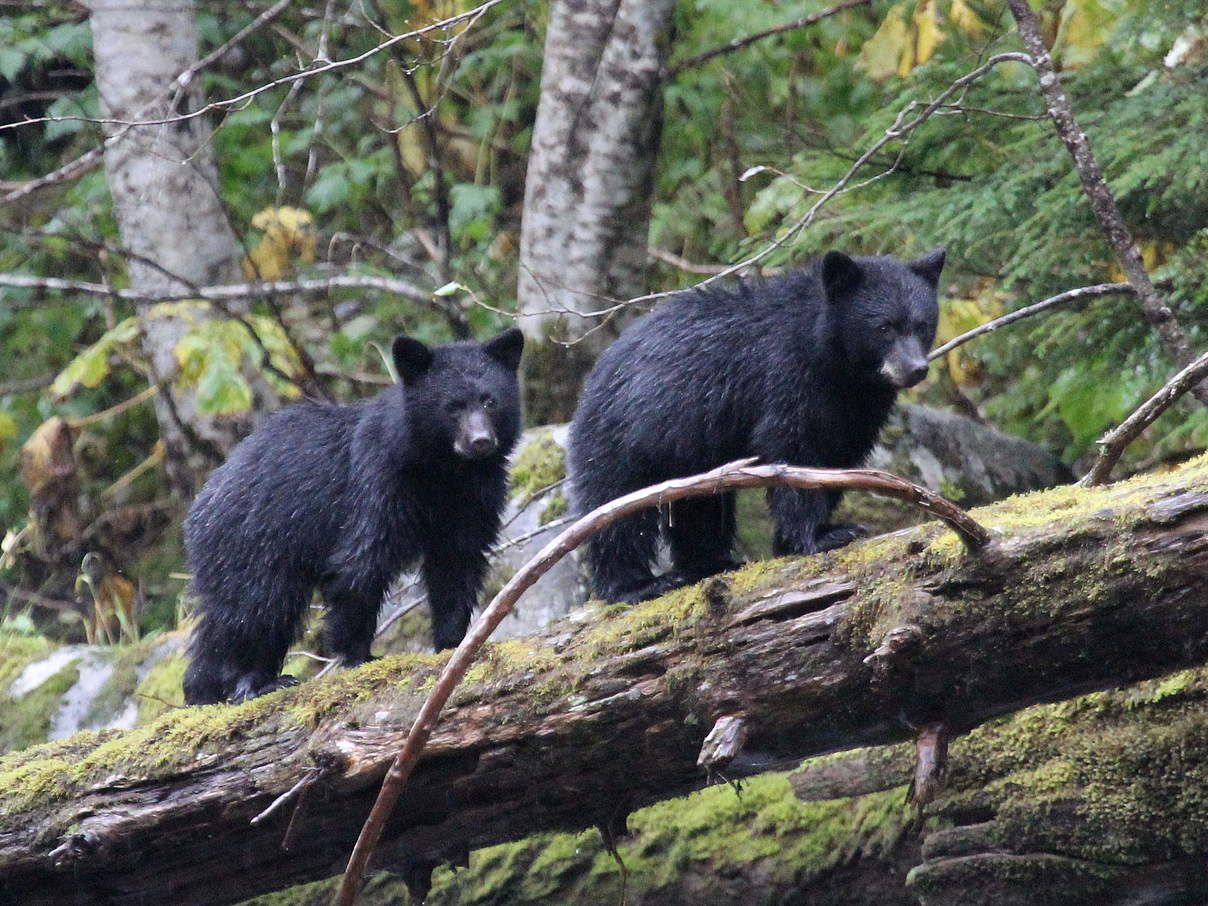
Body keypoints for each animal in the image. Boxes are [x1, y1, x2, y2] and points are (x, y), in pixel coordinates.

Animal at [181, 330, 521, 705]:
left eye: (489, 401)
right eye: (453, 406)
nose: (481, 441)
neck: (444, 473)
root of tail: (203, 500)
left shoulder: (474, 502)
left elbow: (456, 565)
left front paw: (454, 644)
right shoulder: (377, 487)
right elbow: (361, 564)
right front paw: (360, 655)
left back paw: (207, 688)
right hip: (254, 541)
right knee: (255, 607)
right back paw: (250, 683)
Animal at [570, 250, 947, 604]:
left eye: (922, 324)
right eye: (884, 327)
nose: (916, 369)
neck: (836, 365)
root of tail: (594, 375)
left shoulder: (855, 409)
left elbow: (838, 457)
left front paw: (802, 536)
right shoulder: (785, 379)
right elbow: (795, 450)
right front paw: (822, 535)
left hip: (690, 452)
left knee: (701, 506)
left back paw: (712, 562)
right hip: (622, 435)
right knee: (616, 508)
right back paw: (634, 585)